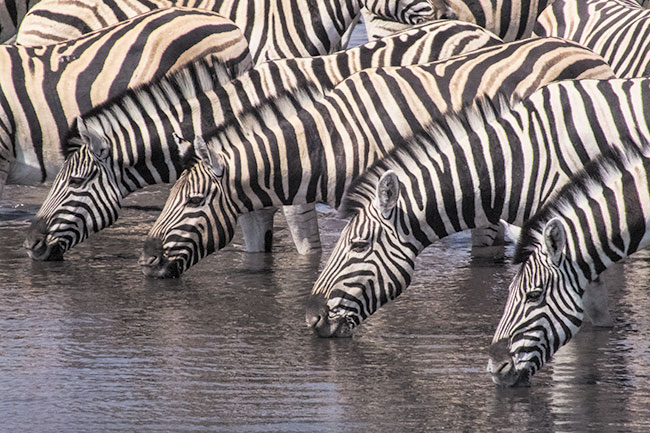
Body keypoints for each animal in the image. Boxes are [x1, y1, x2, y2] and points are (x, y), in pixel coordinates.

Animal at [22, 20, 502, 262]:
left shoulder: (294, 197)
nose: (30, 245)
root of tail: (483, 33)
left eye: (76, 182)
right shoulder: (249, 201)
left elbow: (309, 250)